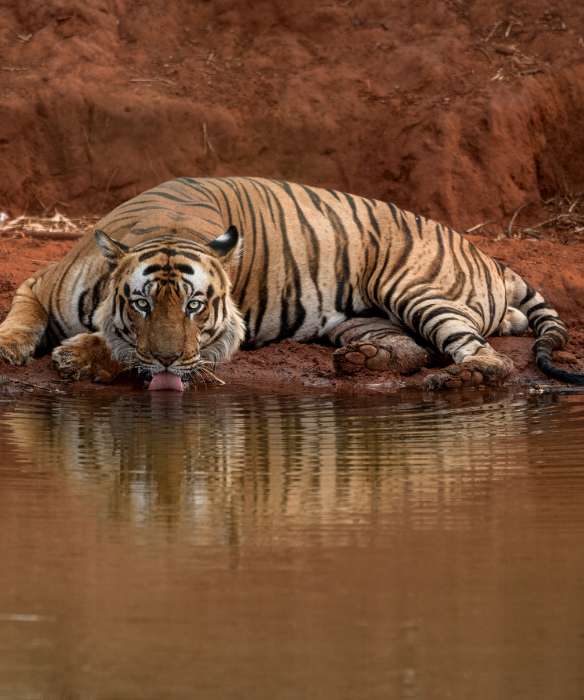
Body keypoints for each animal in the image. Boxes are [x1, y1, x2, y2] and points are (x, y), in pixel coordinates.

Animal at [0, 174, 580, 392]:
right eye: (141, 304)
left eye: (195, 307)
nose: (167, 361)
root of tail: (489, 255)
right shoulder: (36, 283)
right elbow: (21, 317)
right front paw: (10, 348)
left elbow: (131, 353)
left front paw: (80, 356)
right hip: (363, 321)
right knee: (412, 348)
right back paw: (363, 363)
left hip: (414, 289)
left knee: (490, 359)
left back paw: (459, 378)